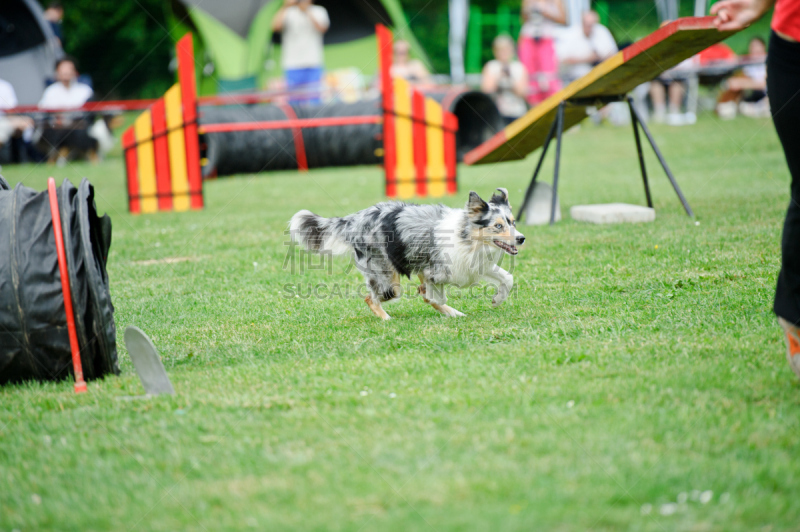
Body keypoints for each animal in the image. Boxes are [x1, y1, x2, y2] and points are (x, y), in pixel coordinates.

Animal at [288, 188, 524, 320]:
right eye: (498, 226)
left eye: (513, 222)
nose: (521, 238)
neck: (467, 238)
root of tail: (355, 219)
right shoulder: (435, 272)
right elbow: (434, 296)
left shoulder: (474, 266)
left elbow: (508, 278)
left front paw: (497, 300)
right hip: (388, 281)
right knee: (370, 298)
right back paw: (387, 319)